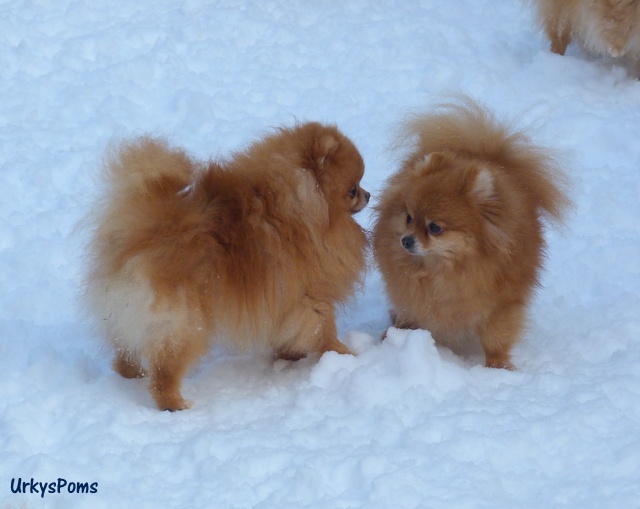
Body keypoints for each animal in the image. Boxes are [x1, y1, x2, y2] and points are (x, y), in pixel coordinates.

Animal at [84, 122, 370, 408]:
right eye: (353, 189)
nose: (368, 194)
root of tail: (147, 228)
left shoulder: (284, 301)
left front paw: (289, 356)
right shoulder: (309, 297)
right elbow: (323, 329)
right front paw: (343, 356)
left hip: (129, 314)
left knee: (126, 350)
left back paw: (131, 376)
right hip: (183, 321)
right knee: (165, 369)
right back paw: (174, 404)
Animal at [376, 99, 568, 370]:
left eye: (435, 227)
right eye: (409, 218)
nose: (406, 240)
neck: (440, 269)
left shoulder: (500, 304)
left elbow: (496, 337)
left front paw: (498, 366)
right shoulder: (412, 294)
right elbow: (412, 311)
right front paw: (400, 335)